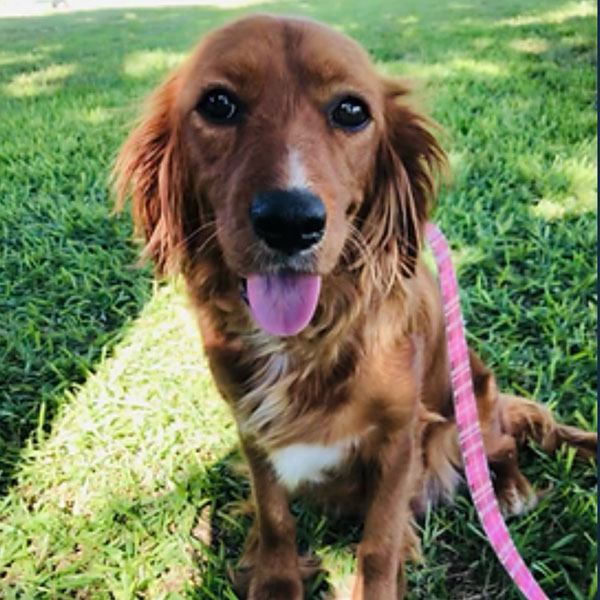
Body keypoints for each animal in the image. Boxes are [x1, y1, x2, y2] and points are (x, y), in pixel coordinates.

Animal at [115, 15, 596, 600]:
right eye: (218, 103)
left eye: (350, 111)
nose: (290, 221)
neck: (305, 339)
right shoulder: (251, 425)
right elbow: (274, 515)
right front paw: (276, 581)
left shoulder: (401, 437)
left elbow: (380, 540)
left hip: (474, 392)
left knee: (498, 444)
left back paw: (510, 488)